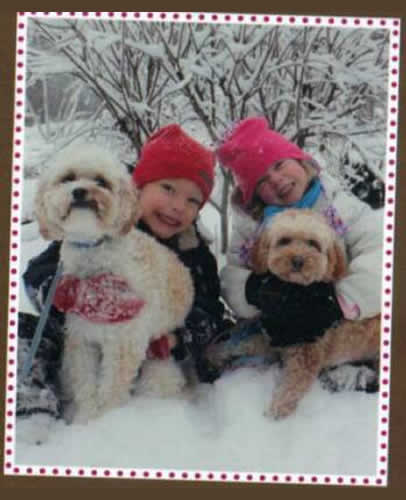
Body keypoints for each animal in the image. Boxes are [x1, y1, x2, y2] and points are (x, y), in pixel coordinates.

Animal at [34, 145, 194, 422]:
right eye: (68, 178)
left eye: (101, 181)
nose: (80, 191)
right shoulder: (81, 337)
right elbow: (85, 382)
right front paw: (86, 419)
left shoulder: (124, 341)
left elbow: (111, 388)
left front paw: (106, 420)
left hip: (158, 370)